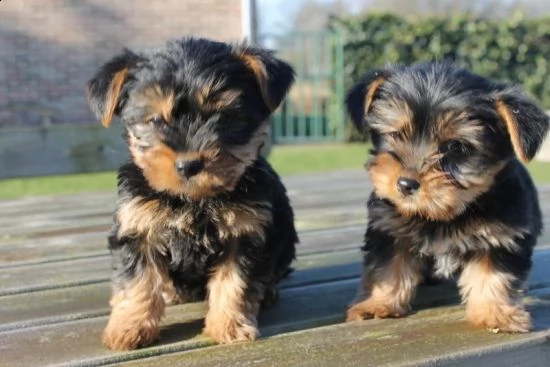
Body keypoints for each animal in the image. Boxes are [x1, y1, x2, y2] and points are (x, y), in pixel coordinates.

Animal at [87, 37, 300, 350]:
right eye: (154, 120)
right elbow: (137, 281)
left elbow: (234, 282)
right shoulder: (138, 225)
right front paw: (129, 327)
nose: (188, 164)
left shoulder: (244, 232)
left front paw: (230, 325)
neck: (192, 199)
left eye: (224, 118)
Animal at [348, 62, 548, 334]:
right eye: (397, 134)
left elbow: (494, 275)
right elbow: (387, 268)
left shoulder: (502, 234)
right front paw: (378, 304)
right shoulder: (389, 227)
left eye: (456, 147)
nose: (405, 184)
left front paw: (495, 314)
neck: (440, 215)